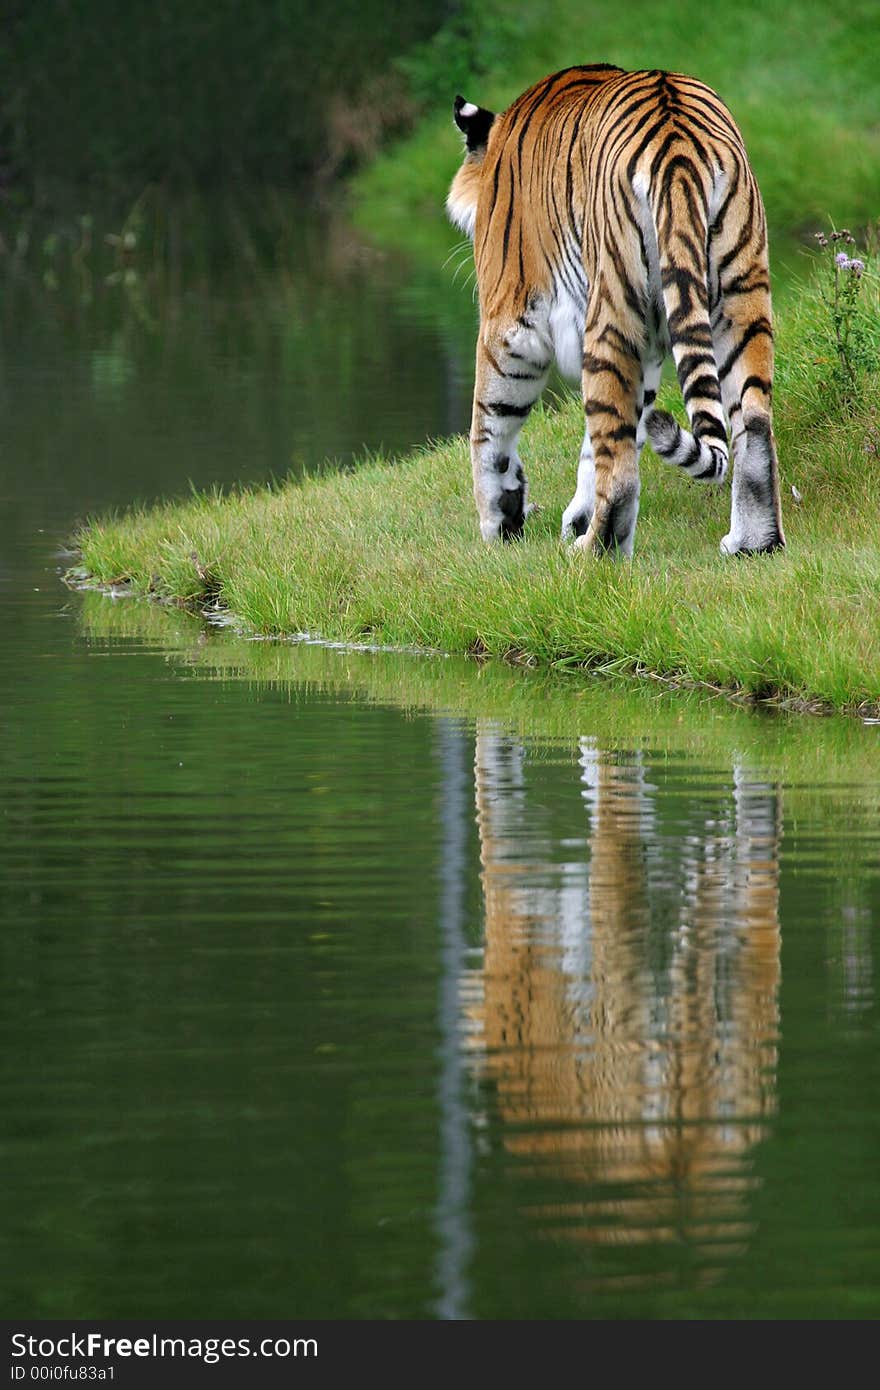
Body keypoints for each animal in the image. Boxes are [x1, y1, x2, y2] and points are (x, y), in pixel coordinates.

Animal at [444, 63, 784, 553]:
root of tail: (677, 144)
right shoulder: (650, 346)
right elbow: (602, 439)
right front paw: (574, 516)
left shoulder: (509, 322)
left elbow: (489, 428)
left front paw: (500, 523)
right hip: (742, 297)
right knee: (752, 421)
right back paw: (753, 545)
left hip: (609, 312)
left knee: (621, 466)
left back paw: (592, 552)